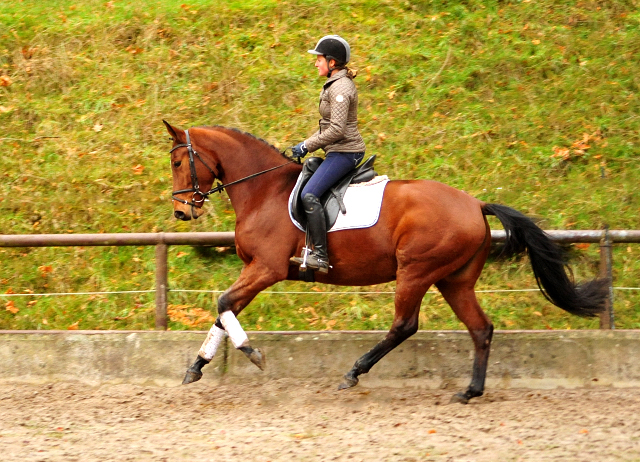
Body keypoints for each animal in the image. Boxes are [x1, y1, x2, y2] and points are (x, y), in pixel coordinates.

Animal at [162, 121, 608, 402]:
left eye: (178, 162)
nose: (182, 212)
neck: (263, 190)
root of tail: (475, 204)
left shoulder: (267, 268)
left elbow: (223, 304)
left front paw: (251, 353)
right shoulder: (256, 270)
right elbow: (225, 310)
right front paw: (197, 366)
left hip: (416, 271)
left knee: (404, 325)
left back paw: (354, 372)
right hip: (454, 280)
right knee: (480, 328)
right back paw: (470, 391)